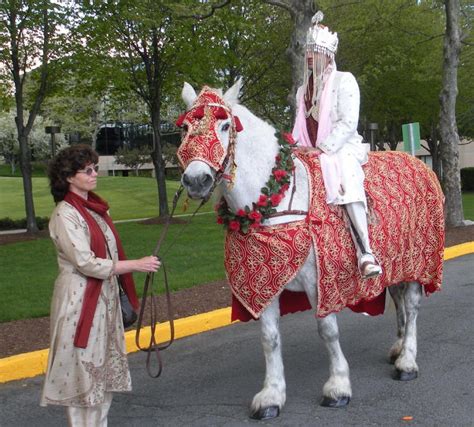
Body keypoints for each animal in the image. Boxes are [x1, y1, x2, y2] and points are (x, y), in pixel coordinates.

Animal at [177, 80, 444, 422]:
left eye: (224, 126)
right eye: (184, 127)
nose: (196, 179)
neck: (273, 202)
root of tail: (420, 164)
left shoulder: (320, 282)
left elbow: (327, 330)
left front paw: (338, 387)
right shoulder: (263, 283)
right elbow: (269, 339)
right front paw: (272, 395)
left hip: (417, 260)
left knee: (411, 305)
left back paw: (407, 361)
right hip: (395, 263)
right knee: (398, 299)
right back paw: (398, 347)